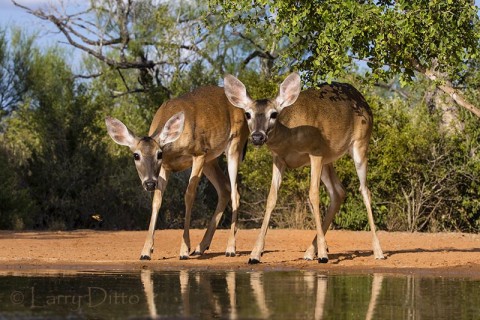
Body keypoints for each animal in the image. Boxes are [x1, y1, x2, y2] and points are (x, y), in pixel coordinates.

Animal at [107, 85, 249, 260]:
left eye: (159, 154)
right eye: (136, 155)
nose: (149, 183)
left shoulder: (199, 153)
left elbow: (189, 195)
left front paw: (184, 250)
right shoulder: (166, 167)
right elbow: (157, 201)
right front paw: (146, 251)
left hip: (235, 144)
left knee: (235, 193)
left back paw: (230, 248)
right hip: (211, 160)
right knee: (225, 188)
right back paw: (200, 247)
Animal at [223, 74, 384, 264]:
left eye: (274, 114)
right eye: (248, 114)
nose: (257, 137)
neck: (289, 136)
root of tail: (362, 99)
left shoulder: (316, 152)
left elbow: (313, 195)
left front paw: (323, 255)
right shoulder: (279, 159)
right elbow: (271, 198)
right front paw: (255, 254)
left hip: (360, 144)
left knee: (364, 190)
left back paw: (378, 251)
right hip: (329, 160)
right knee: (338, 191)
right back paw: (309, 252)